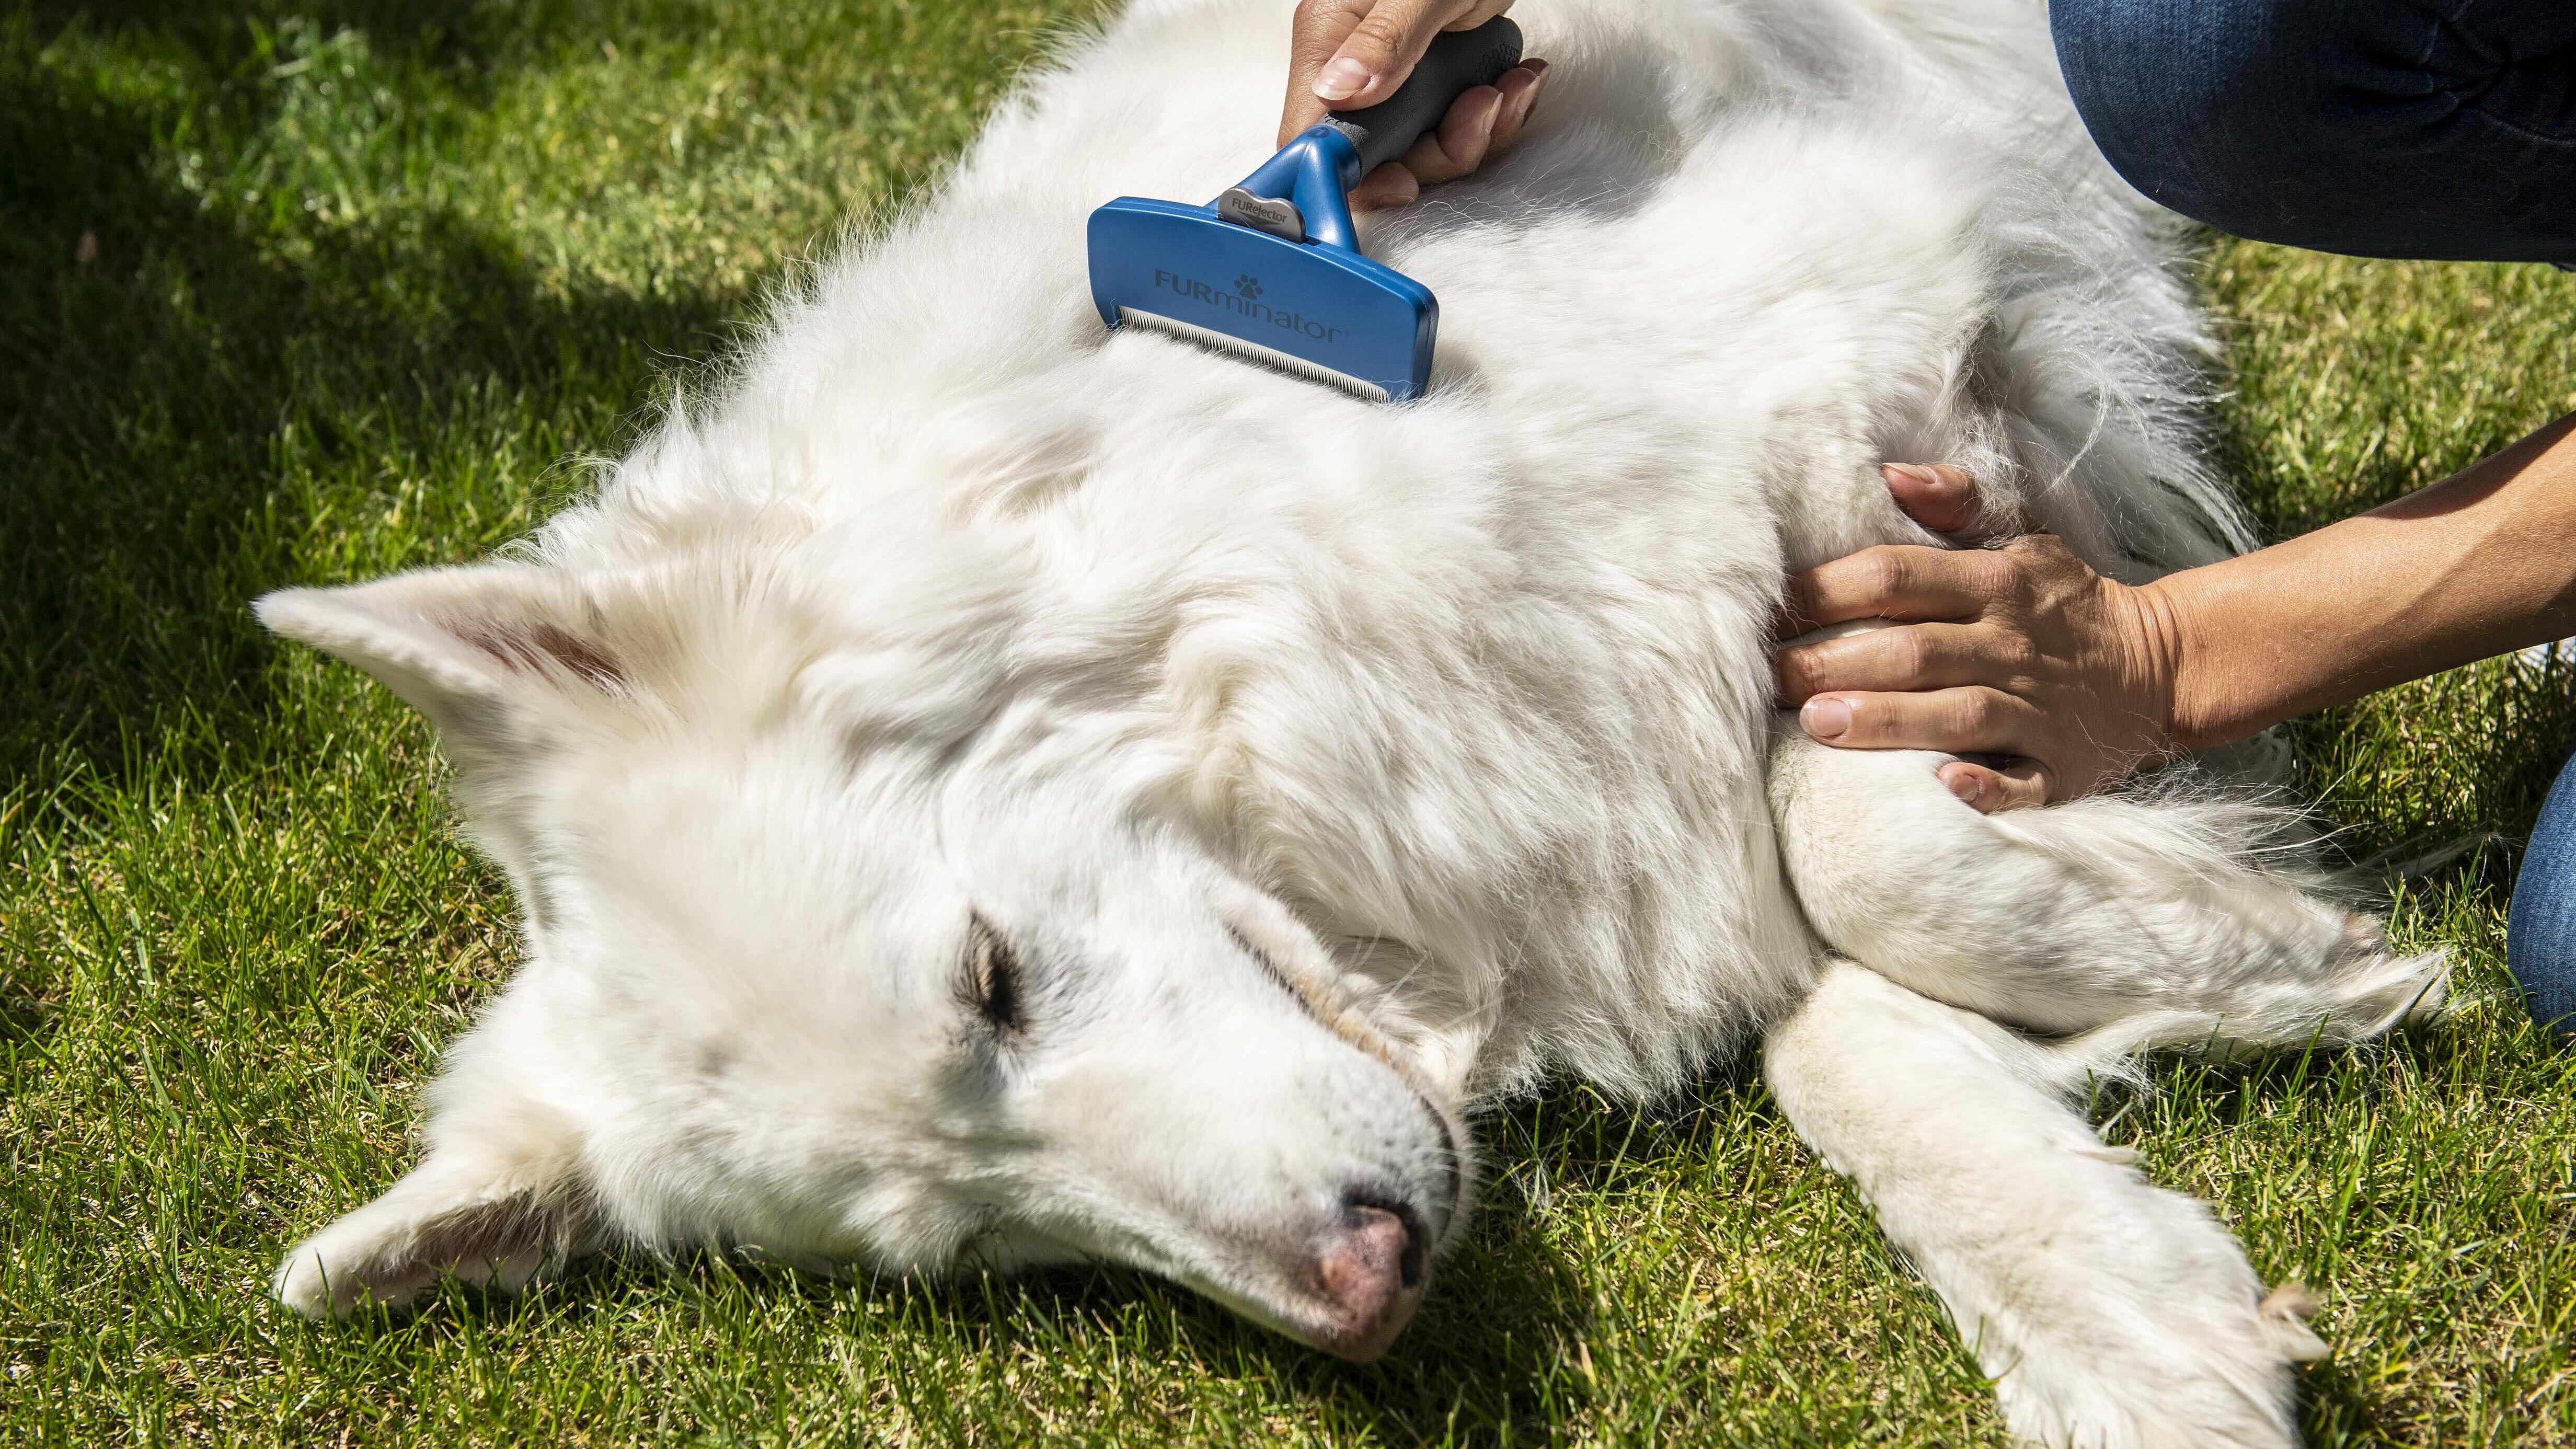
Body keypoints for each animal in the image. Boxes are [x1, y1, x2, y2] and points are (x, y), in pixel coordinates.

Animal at [261, 5, 2452, 1433]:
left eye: (989, 978)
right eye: (977, 1247)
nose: (1370, 1295)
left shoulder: (1911, 400)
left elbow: (1852, 844)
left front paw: (2248, 951)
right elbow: (1829, 1004)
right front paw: (2113, 1302)